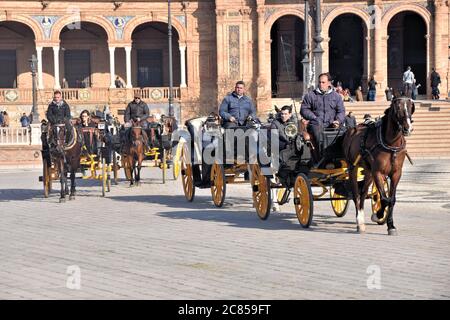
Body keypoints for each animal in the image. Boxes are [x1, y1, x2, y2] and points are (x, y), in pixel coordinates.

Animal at [344, 95, 414, 235]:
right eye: (397, 109)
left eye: (410, 108)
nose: (407, 128)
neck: (391, 144)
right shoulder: (378, 172)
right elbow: (384, 198)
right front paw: (378, 215)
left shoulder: (396, 174)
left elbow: (391, 199)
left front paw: (390, 225)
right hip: (352, 168)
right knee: (356, 194)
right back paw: (359, 221)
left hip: (368, 171)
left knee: (363, 192)